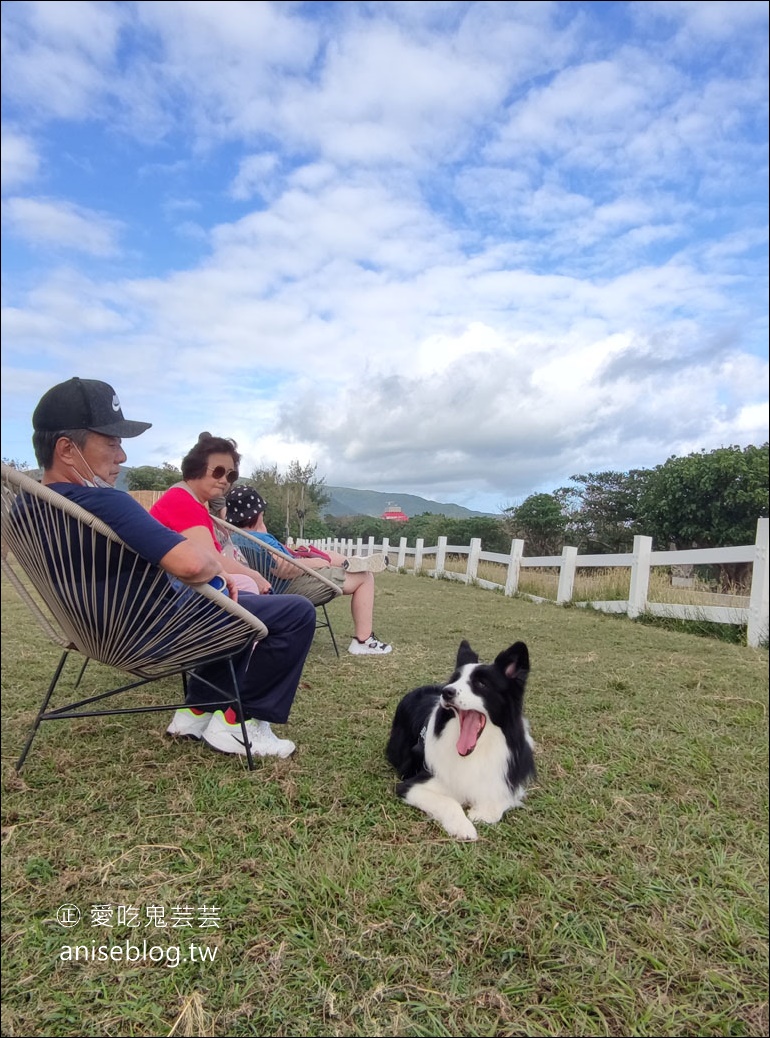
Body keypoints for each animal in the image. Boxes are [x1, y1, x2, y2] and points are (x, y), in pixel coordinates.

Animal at [386, 635, 535, 838]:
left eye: (481, 683)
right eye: (455, 680)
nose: (446, 691)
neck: (476, 752)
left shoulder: (510, 780)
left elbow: (498, 801)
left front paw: (481, 813)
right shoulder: (413, 784)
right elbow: (449, 802)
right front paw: (463, 827)